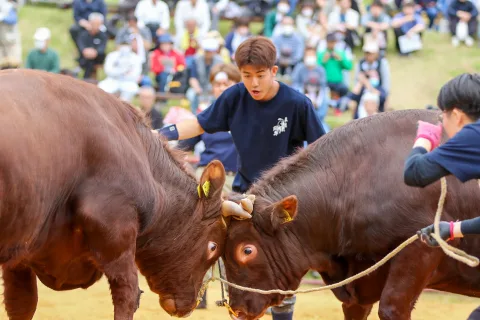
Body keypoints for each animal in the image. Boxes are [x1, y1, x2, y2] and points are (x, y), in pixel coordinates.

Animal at [0, 69, 251, 318]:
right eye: (213, 247)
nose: (188, 305)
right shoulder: (116, 236)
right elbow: (128, 296)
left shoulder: (20, 256)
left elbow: (22, 303)